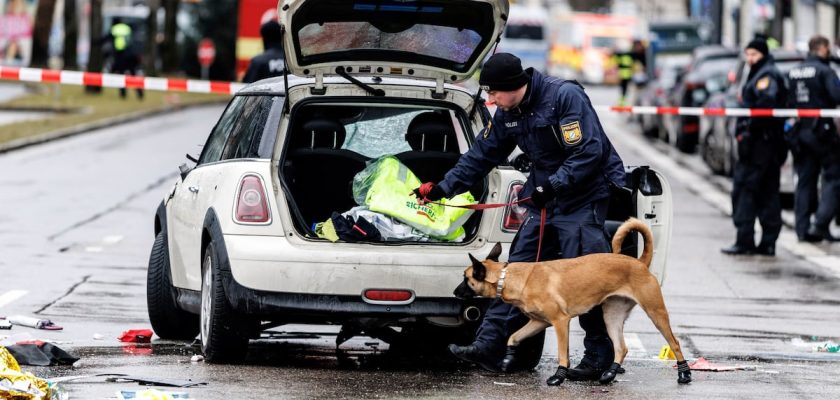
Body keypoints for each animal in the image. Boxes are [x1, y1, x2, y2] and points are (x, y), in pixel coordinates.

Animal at [456, 217, 692, 386]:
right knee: (621, 348)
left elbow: (563, 353)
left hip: (656, 313)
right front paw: (508, 358)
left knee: (675, 343)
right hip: (612, 316)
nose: (455, 292)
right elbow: (513, 337)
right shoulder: (538, 322)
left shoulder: (561, 322)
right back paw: (609, 373)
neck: (510, 277)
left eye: (466, 279)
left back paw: (684, 374)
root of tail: (639, 262)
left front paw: (559, 376)